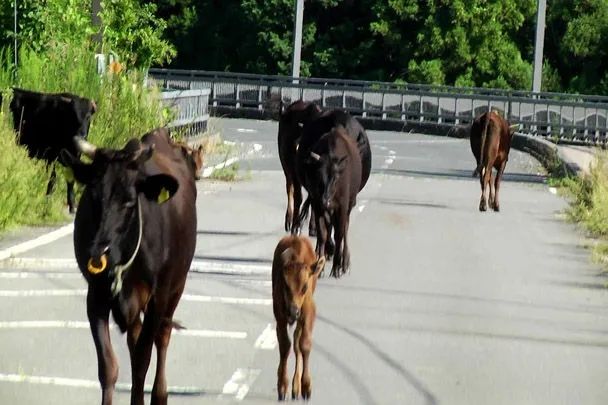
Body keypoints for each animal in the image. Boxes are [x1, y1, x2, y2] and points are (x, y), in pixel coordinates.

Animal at [274, 235, 326, 400]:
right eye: (285, 285)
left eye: (304, 287)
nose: (293, 311)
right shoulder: (279, 314)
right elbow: (285, 345)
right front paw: (282, 386)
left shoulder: (309, 312)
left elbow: (304, 344)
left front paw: (306, 386)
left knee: (297, 342)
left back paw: (296, 388)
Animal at [300, 125, 360, 278]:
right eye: (318, 176)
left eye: (336, 178)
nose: (325, 201)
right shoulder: (317, 204)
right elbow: (322, 233)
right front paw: (320, 267)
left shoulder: (342, 206)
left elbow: (339, 234)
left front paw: (337, 267)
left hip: (349, 204)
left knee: (344, 229)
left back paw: (344, 262)